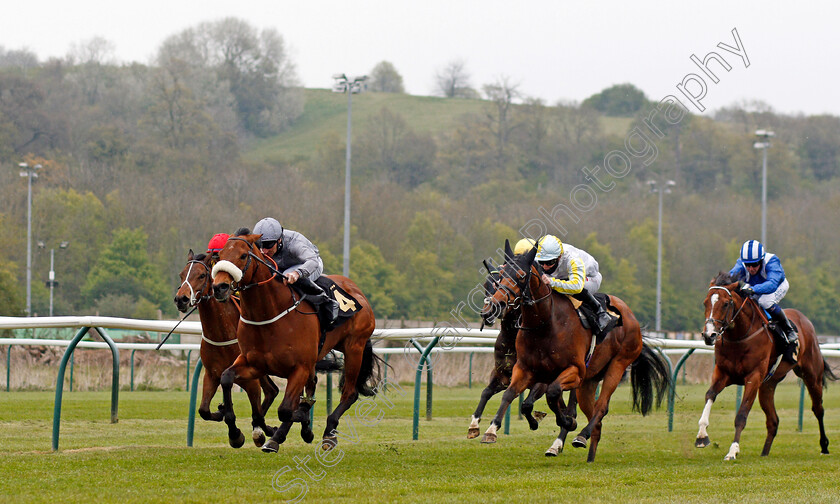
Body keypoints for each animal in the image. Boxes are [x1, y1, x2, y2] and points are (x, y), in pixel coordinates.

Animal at [174, 250, 278, 446]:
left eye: (201, 275)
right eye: (181, 275)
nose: (180, 299)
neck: (222, 334)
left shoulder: (249, 379)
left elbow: (253, 411)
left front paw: (240, 434)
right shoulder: (212, 374)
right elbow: (204, 411)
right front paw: (224, 414)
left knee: (269, 395)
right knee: (271, 391)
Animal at [480, 242, 668, 462]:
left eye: (520, 275)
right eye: (500, 276)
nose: (495, 305)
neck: (545, 325)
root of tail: (631, 317)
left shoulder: (573, 371)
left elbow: (553, 395)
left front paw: (567, 423)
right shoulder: (525, 369)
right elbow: (511, 395)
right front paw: (491, 430)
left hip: (618, 365)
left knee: (601, 407)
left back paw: (580, 435)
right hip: (589, 380)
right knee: (595, 416)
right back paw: (588, 453)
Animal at [696, 274, 832, 458]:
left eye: (725, 303)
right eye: (705, 303)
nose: (709, 335)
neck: (740, 337)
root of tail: (805, 321)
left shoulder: (753, 377)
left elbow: (742, 415)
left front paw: (733, 451)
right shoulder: (723, 373)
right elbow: (710, 395)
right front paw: (702, 436)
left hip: (812, 375)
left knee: (818, 409)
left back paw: (824, 446)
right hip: (768, 386)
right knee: (773, 420)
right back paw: (764, 453)